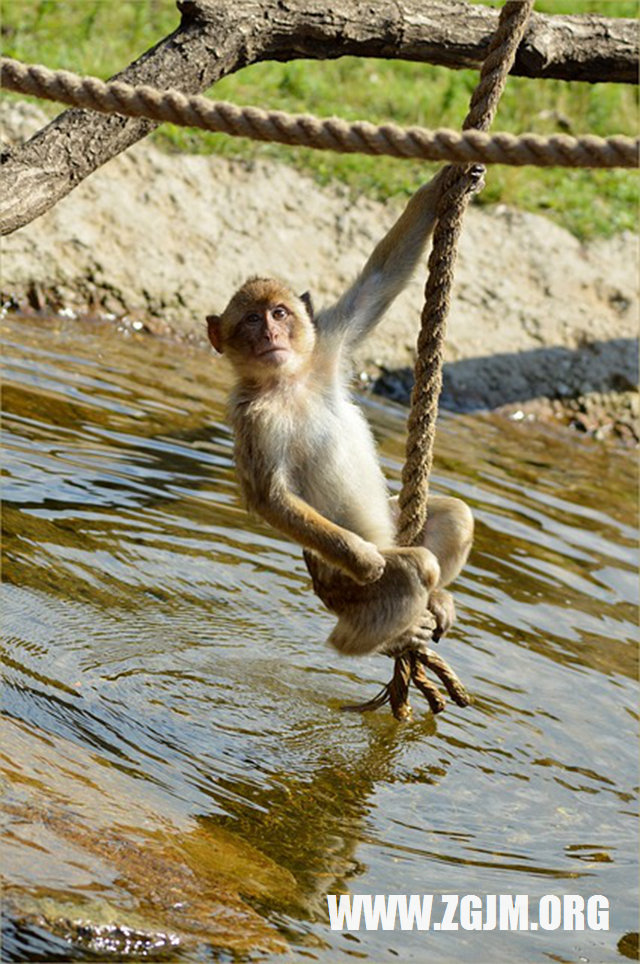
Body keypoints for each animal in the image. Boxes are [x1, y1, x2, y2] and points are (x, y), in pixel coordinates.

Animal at [205, 169, 480, 660]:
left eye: (279, 313)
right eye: (252, 320)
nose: (272, 334)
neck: (289, 382)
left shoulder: (327, 345)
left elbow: (380, 280)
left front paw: (450, 179)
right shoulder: (253, 418)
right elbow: (269, 496)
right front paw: (362, 558)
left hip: (391, 527)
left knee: (455, 516)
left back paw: (436, 599)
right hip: (342, 588)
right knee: (413, 569)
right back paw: (377, 638)